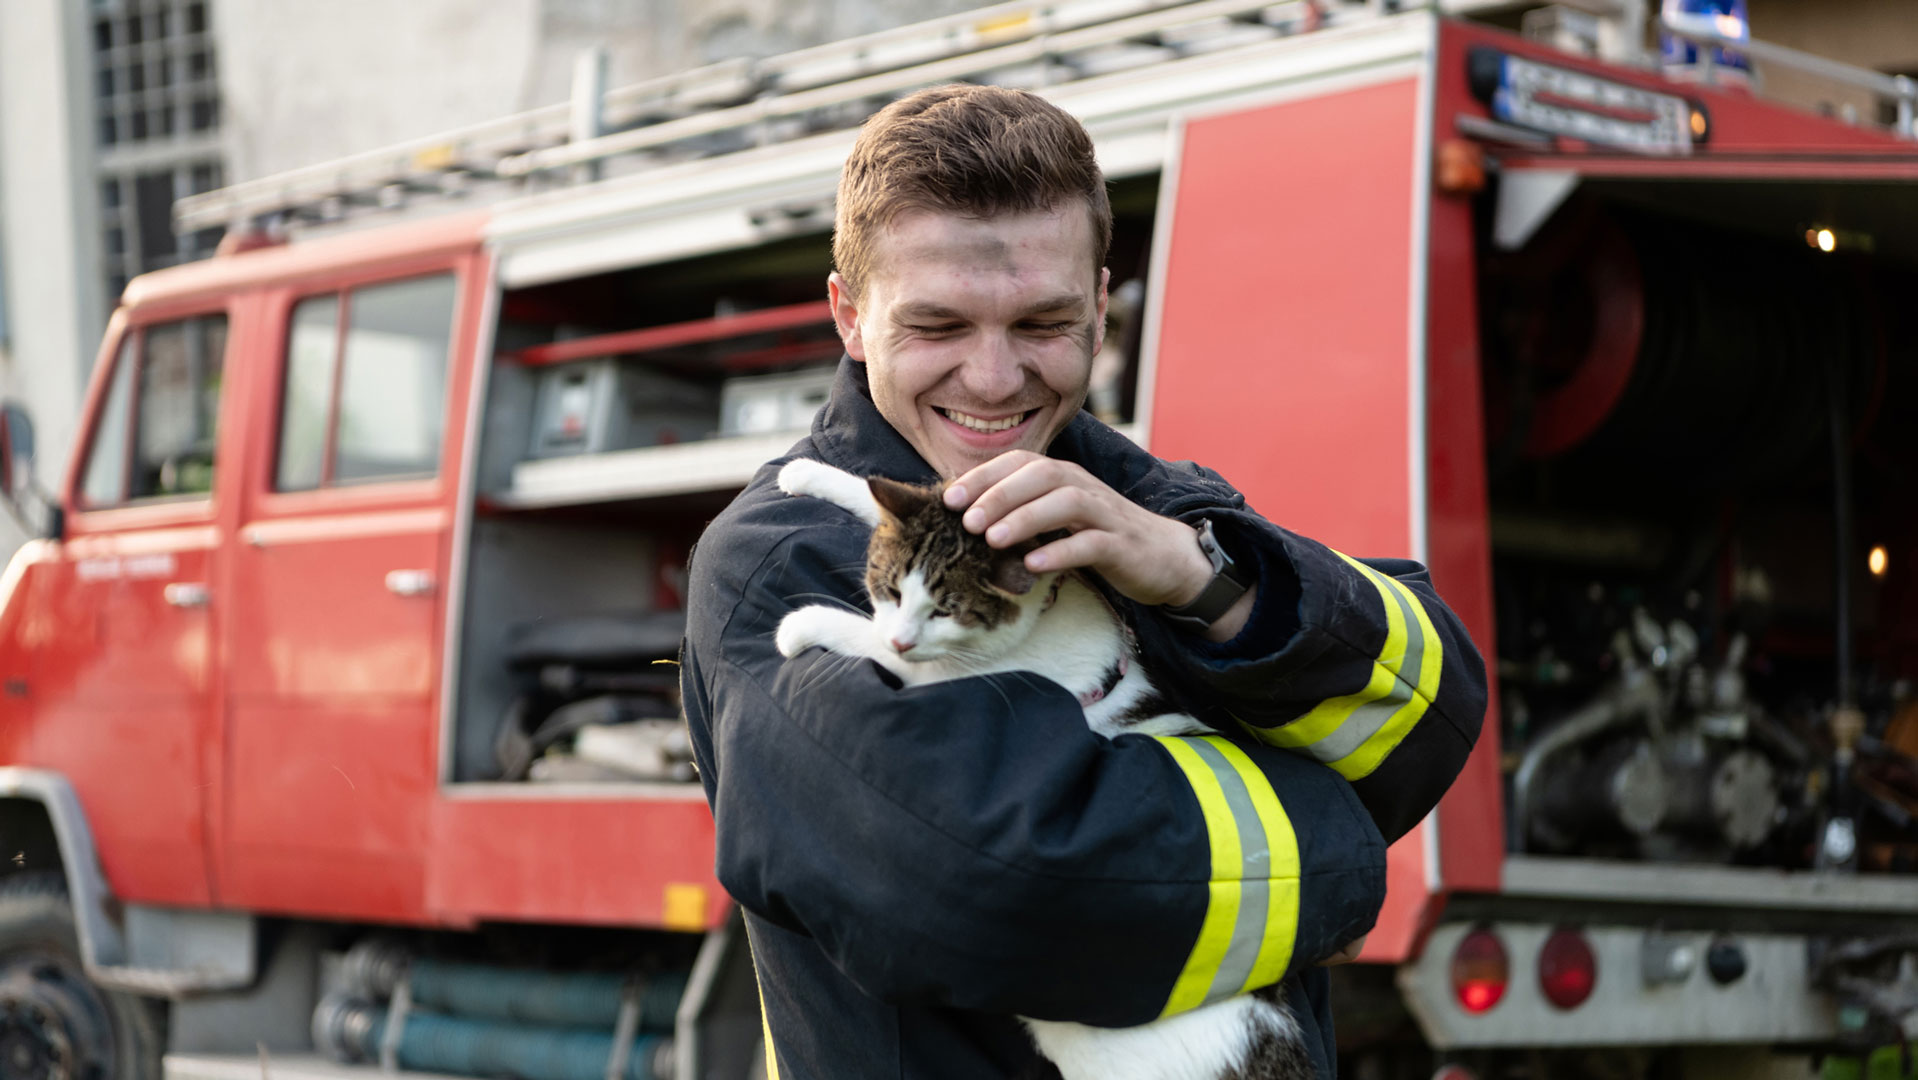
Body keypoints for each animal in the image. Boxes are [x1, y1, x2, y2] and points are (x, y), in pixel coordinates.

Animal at [771, 458, 1311, 1080]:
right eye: (891, 588)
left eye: (945, 610)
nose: (903, 637)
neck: (1039, 614)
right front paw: (812, 474)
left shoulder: (957, 677)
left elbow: (874, 646)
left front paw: (806, 623)